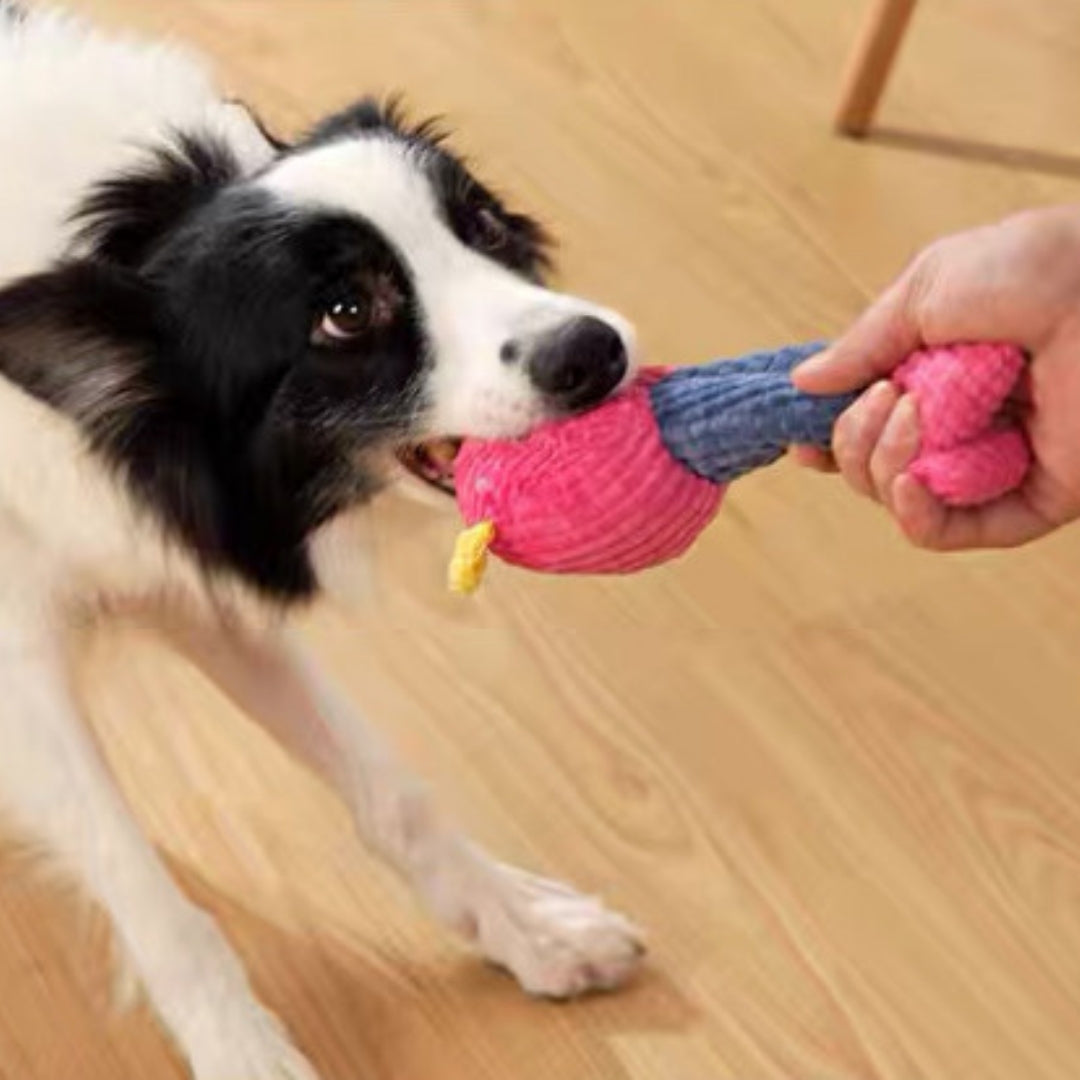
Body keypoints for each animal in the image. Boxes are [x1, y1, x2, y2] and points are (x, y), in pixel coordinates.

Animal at [0, 4, 639, 1075]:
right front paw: (242, 1052)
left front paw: (529, 929)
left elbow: (393, 791)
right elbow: (152, 900)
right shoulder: (20, 679)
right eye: (345, 314)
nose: (596, 351)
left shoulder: (187, 572)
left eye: (483, 225)